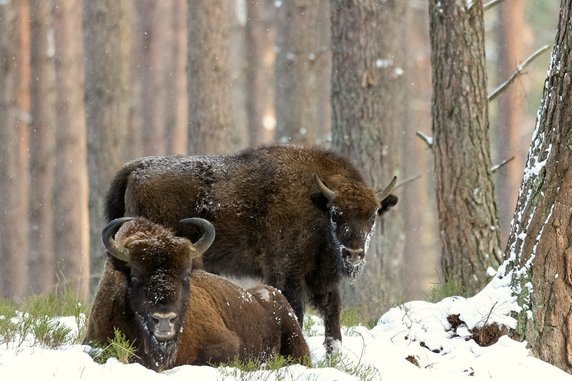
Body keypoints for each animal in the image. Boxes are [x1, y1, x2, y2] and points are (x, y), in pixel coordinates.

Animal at [105, 143, 396, 350]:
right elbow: (295, 312)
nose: (354, 253)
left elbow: (332, 316)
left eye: (372, 216)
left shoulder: (322, 279)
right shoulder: (287, 274)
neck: (316, 203)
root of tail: (135, 168)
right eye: (336, 214)